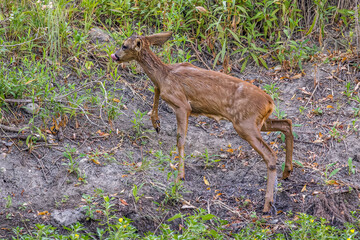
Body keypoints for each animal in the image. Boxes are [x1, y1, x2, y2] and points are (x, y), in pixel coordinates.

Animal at [111, 31, 294, 212]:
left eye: (124, 45)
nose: (115, 55)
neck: (165, 74)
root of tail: (270, 102)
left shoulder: (182, 105)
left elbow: (180, 140)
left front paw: (180, 177)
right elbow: (156, 90)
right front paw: (156, 123)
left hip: (245, 124)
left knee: (270, 154)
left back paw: (268, 203)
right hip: (258, 122)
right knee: (286, 123)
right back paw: (287, 172)